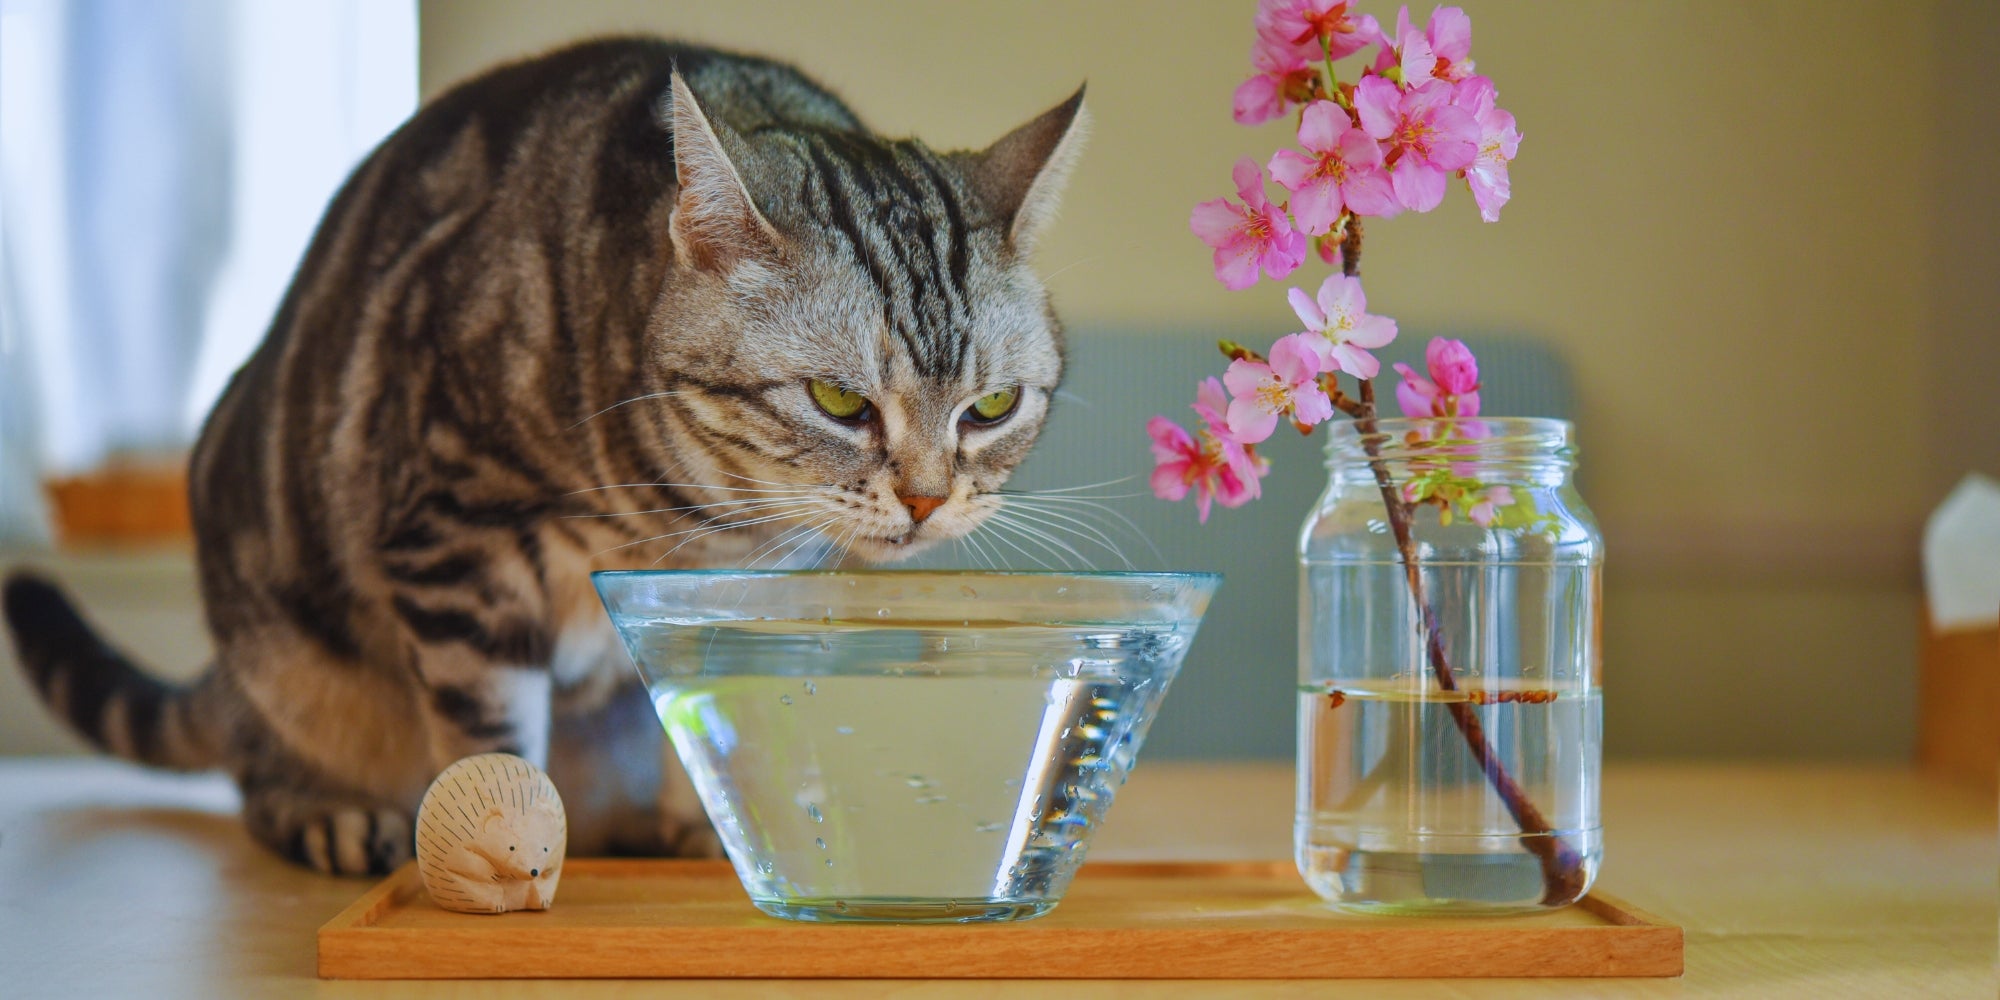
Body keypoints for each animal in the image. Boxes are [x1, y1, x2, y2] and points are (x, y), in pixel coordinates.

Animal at [3, 39, 1096, 872]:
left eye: (991, 406)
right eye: (840, 401)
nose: (926, 499)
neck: (691, 518)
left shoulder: (743, 591)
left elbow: (719, 711)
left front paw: (715, 832)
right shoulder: (453, 537)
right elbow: (490, 735)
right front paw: (502, 849)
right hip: (285, 653)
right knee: (257, 767)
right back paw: (332, 813)